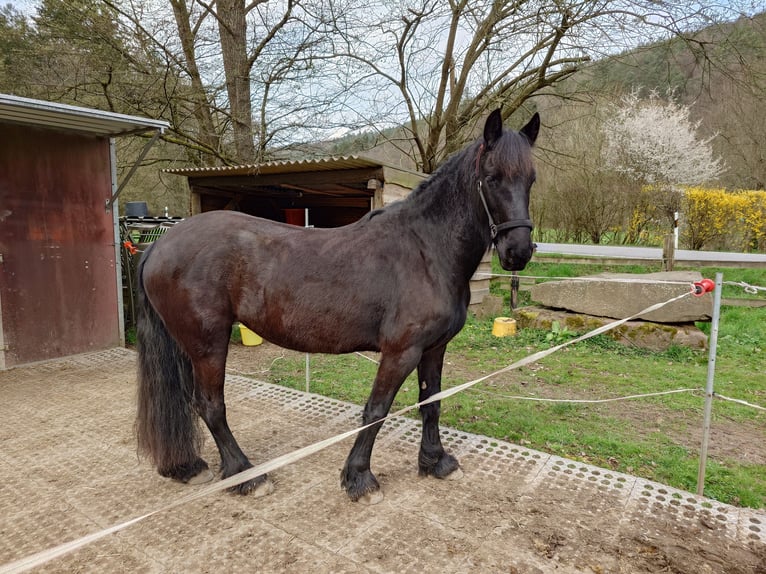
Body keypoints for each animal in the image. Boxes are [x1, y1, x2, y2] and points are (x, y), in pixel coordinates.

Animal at [135, 109, 539, 504]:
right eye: (492, 178)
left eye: (531, 179)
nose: (518, 252)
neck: (426, 250)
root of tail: (160, 245)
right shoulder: (401, 352)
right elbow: (377, 410)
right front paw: (359, 479)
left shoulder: (434, 349)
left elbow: (431, 402)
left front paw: (436, 462)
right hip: (208, 344)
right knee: (210, 406)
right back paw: (246, 476)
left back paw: (186, 466)